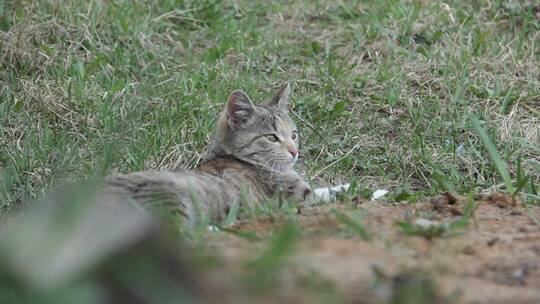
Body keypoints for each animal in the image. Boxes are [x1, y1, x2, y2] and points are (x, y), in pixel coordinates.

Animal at [105, 83, 346, 226]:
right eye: (272, 138)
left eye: (294, 135)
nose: (295, 152)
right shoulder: (295, 197)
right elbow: (328, 195)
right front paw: (349, 189)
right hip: (167, 194)